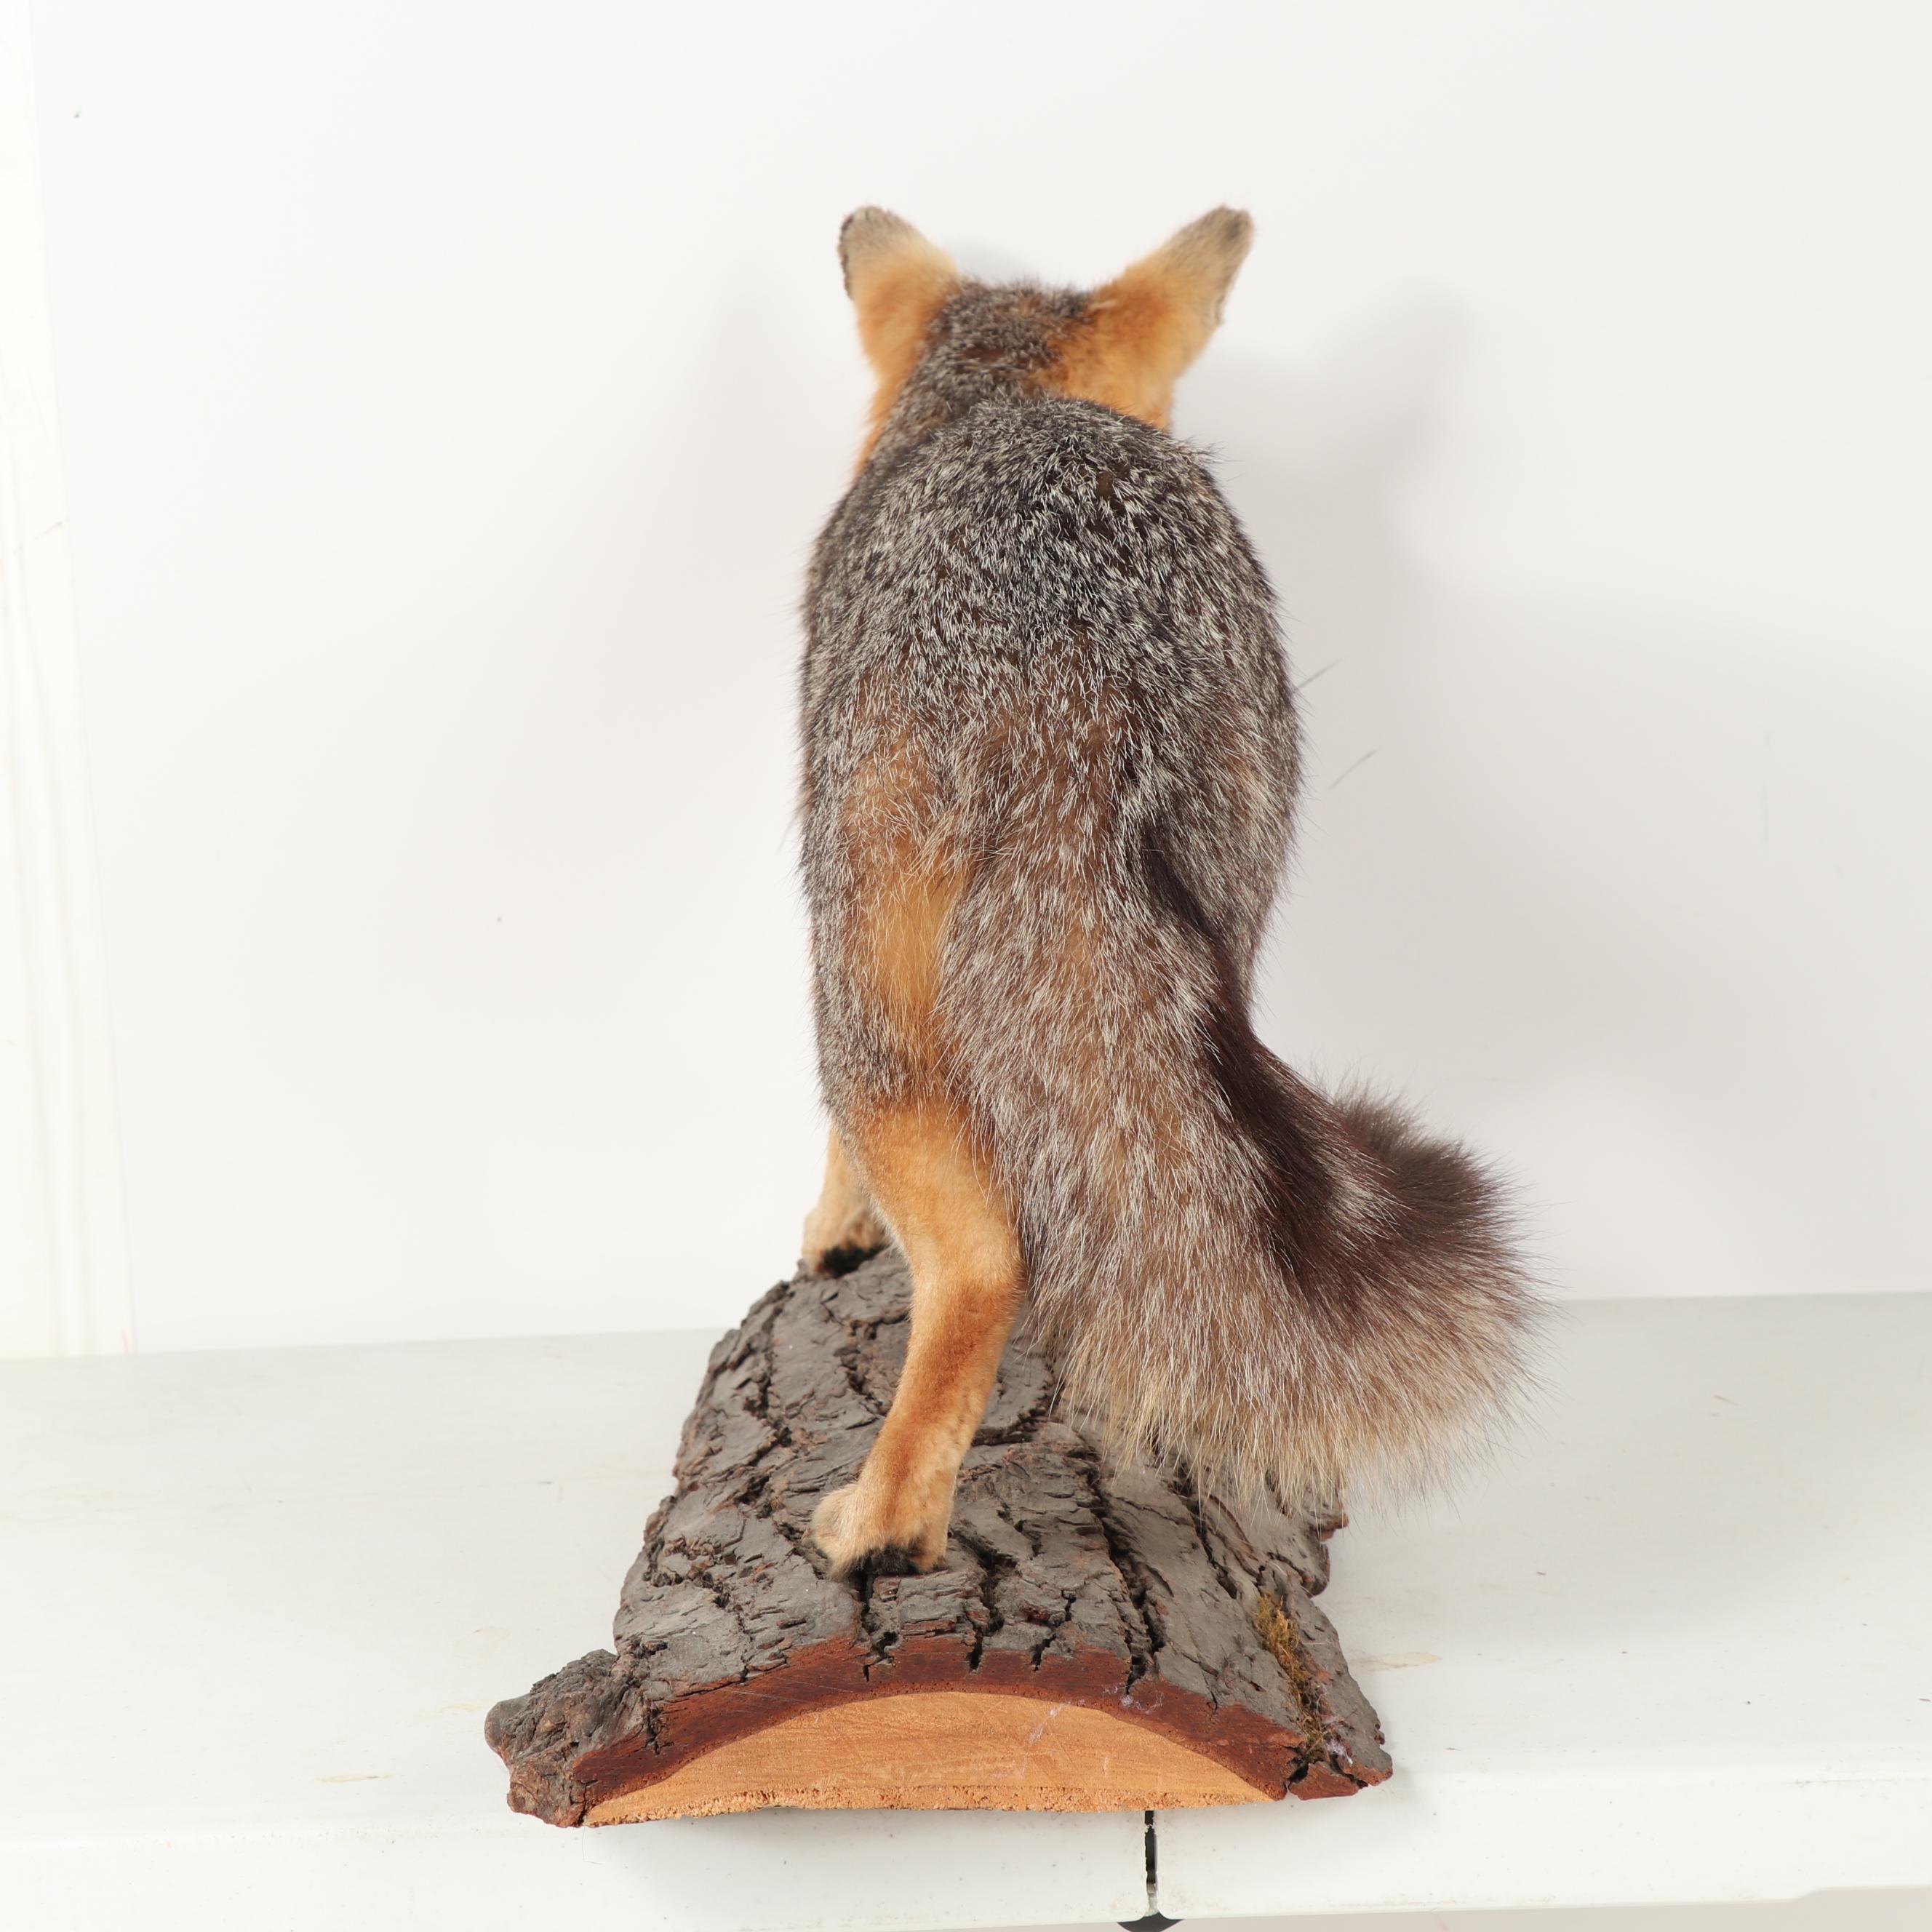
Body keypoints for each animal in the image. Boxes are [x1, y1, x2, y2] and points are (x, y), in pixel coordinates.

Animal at [798, 207, 1538, 1578]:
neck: (997, 401)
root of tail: (1086, 645)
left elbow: (828, 1150)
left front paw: (836, 1228)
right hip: (1232, 912)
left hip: (871, 998)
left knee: (984, 1260)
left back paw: (885, 1524)